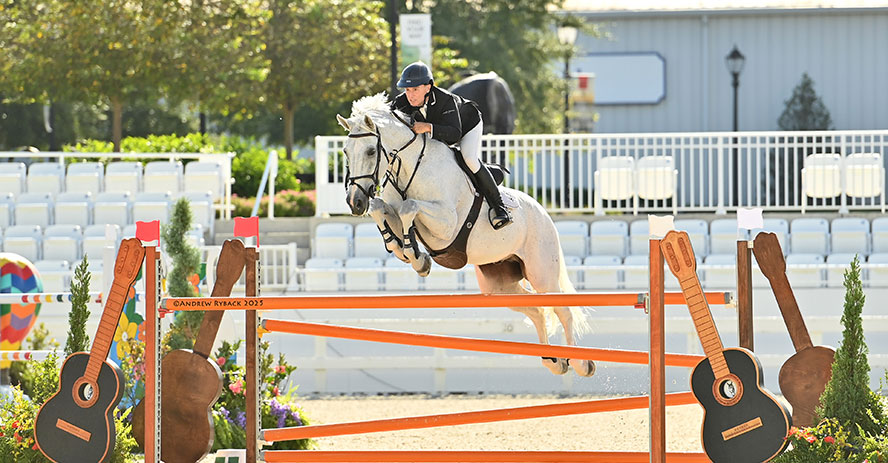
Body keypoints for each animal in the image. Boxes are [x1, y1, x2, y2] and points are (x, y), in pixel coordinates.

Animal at [335, 93, 595, 377]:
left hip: (542, 272)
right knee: (536, 310)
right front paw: (404, 250)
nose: (354, 202)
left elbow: (409, 207)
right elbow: (381, 209)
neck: (411, 167)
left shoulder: (446, 224)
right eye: (346, 151)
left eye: (371, 151)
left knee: (563, 309)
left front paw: (415, 255)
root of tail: (544, 213)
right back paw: (554, 361)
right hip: (499, 285)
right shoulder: (393, 209)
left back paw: (580, 363)